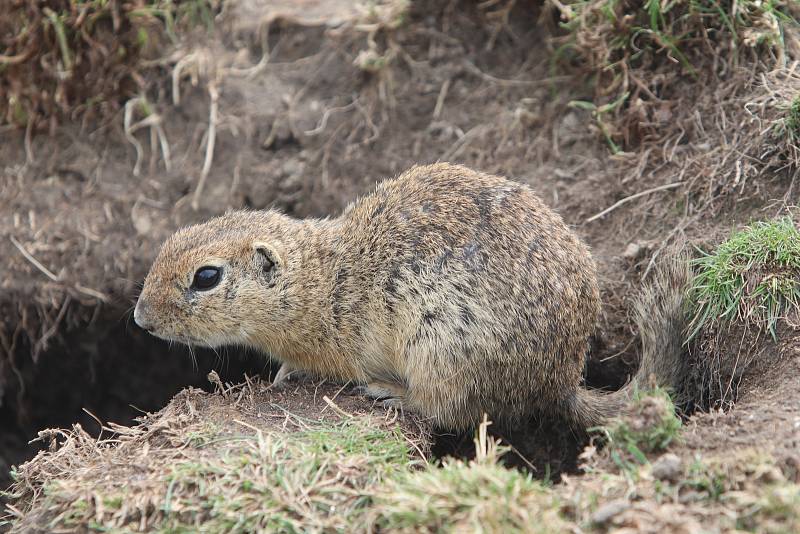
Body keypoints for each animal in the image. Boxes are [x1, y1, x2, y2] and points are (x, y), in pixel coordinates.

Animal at [133, 162, 688, 432]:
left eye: (206, 277)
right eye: (174, 237)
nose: (140, 318)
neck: (325, 283)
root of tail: (563, 380)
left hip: (441, 350)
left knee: (451, 410)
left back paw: (391, 392)